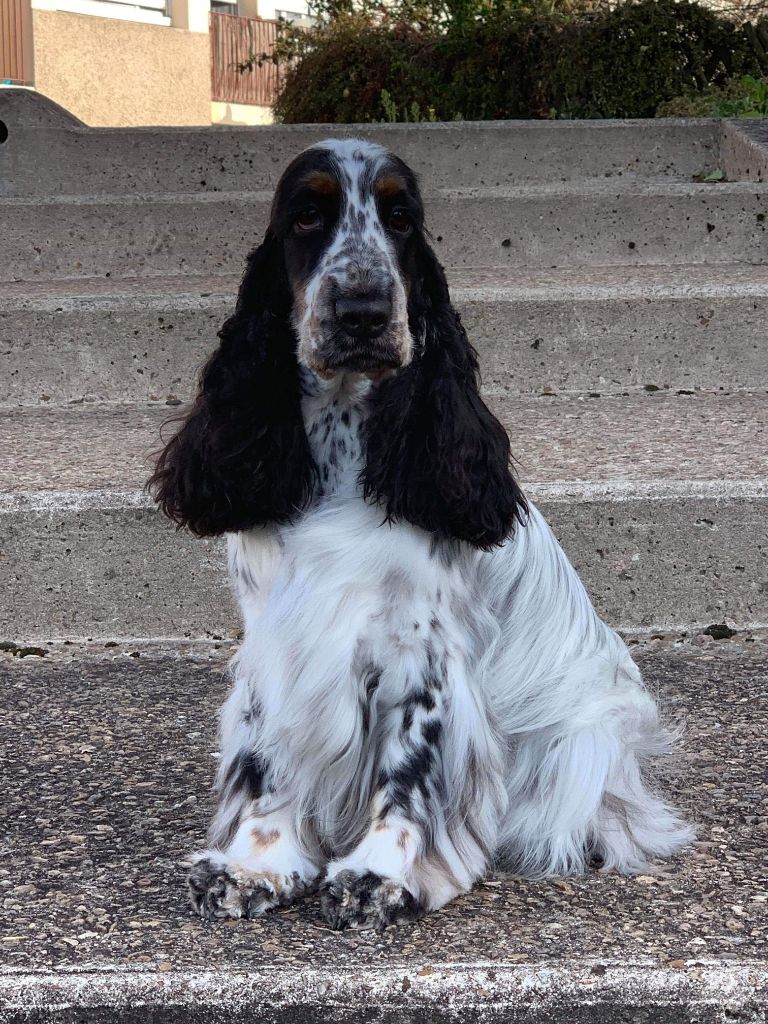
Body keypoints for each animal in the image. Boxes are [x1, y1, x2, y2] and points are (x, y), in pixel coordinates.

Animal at [148, 140, 692, 933]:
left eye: (400, 218)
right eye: (307, 214)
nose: (363, 311)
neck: (345, 443)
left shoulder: (421, 653)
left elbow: (407, 772)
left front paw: (379, 875)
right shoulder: (278, 644)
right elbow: (269, 761)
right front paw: (254, 864)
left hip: (585, 734)